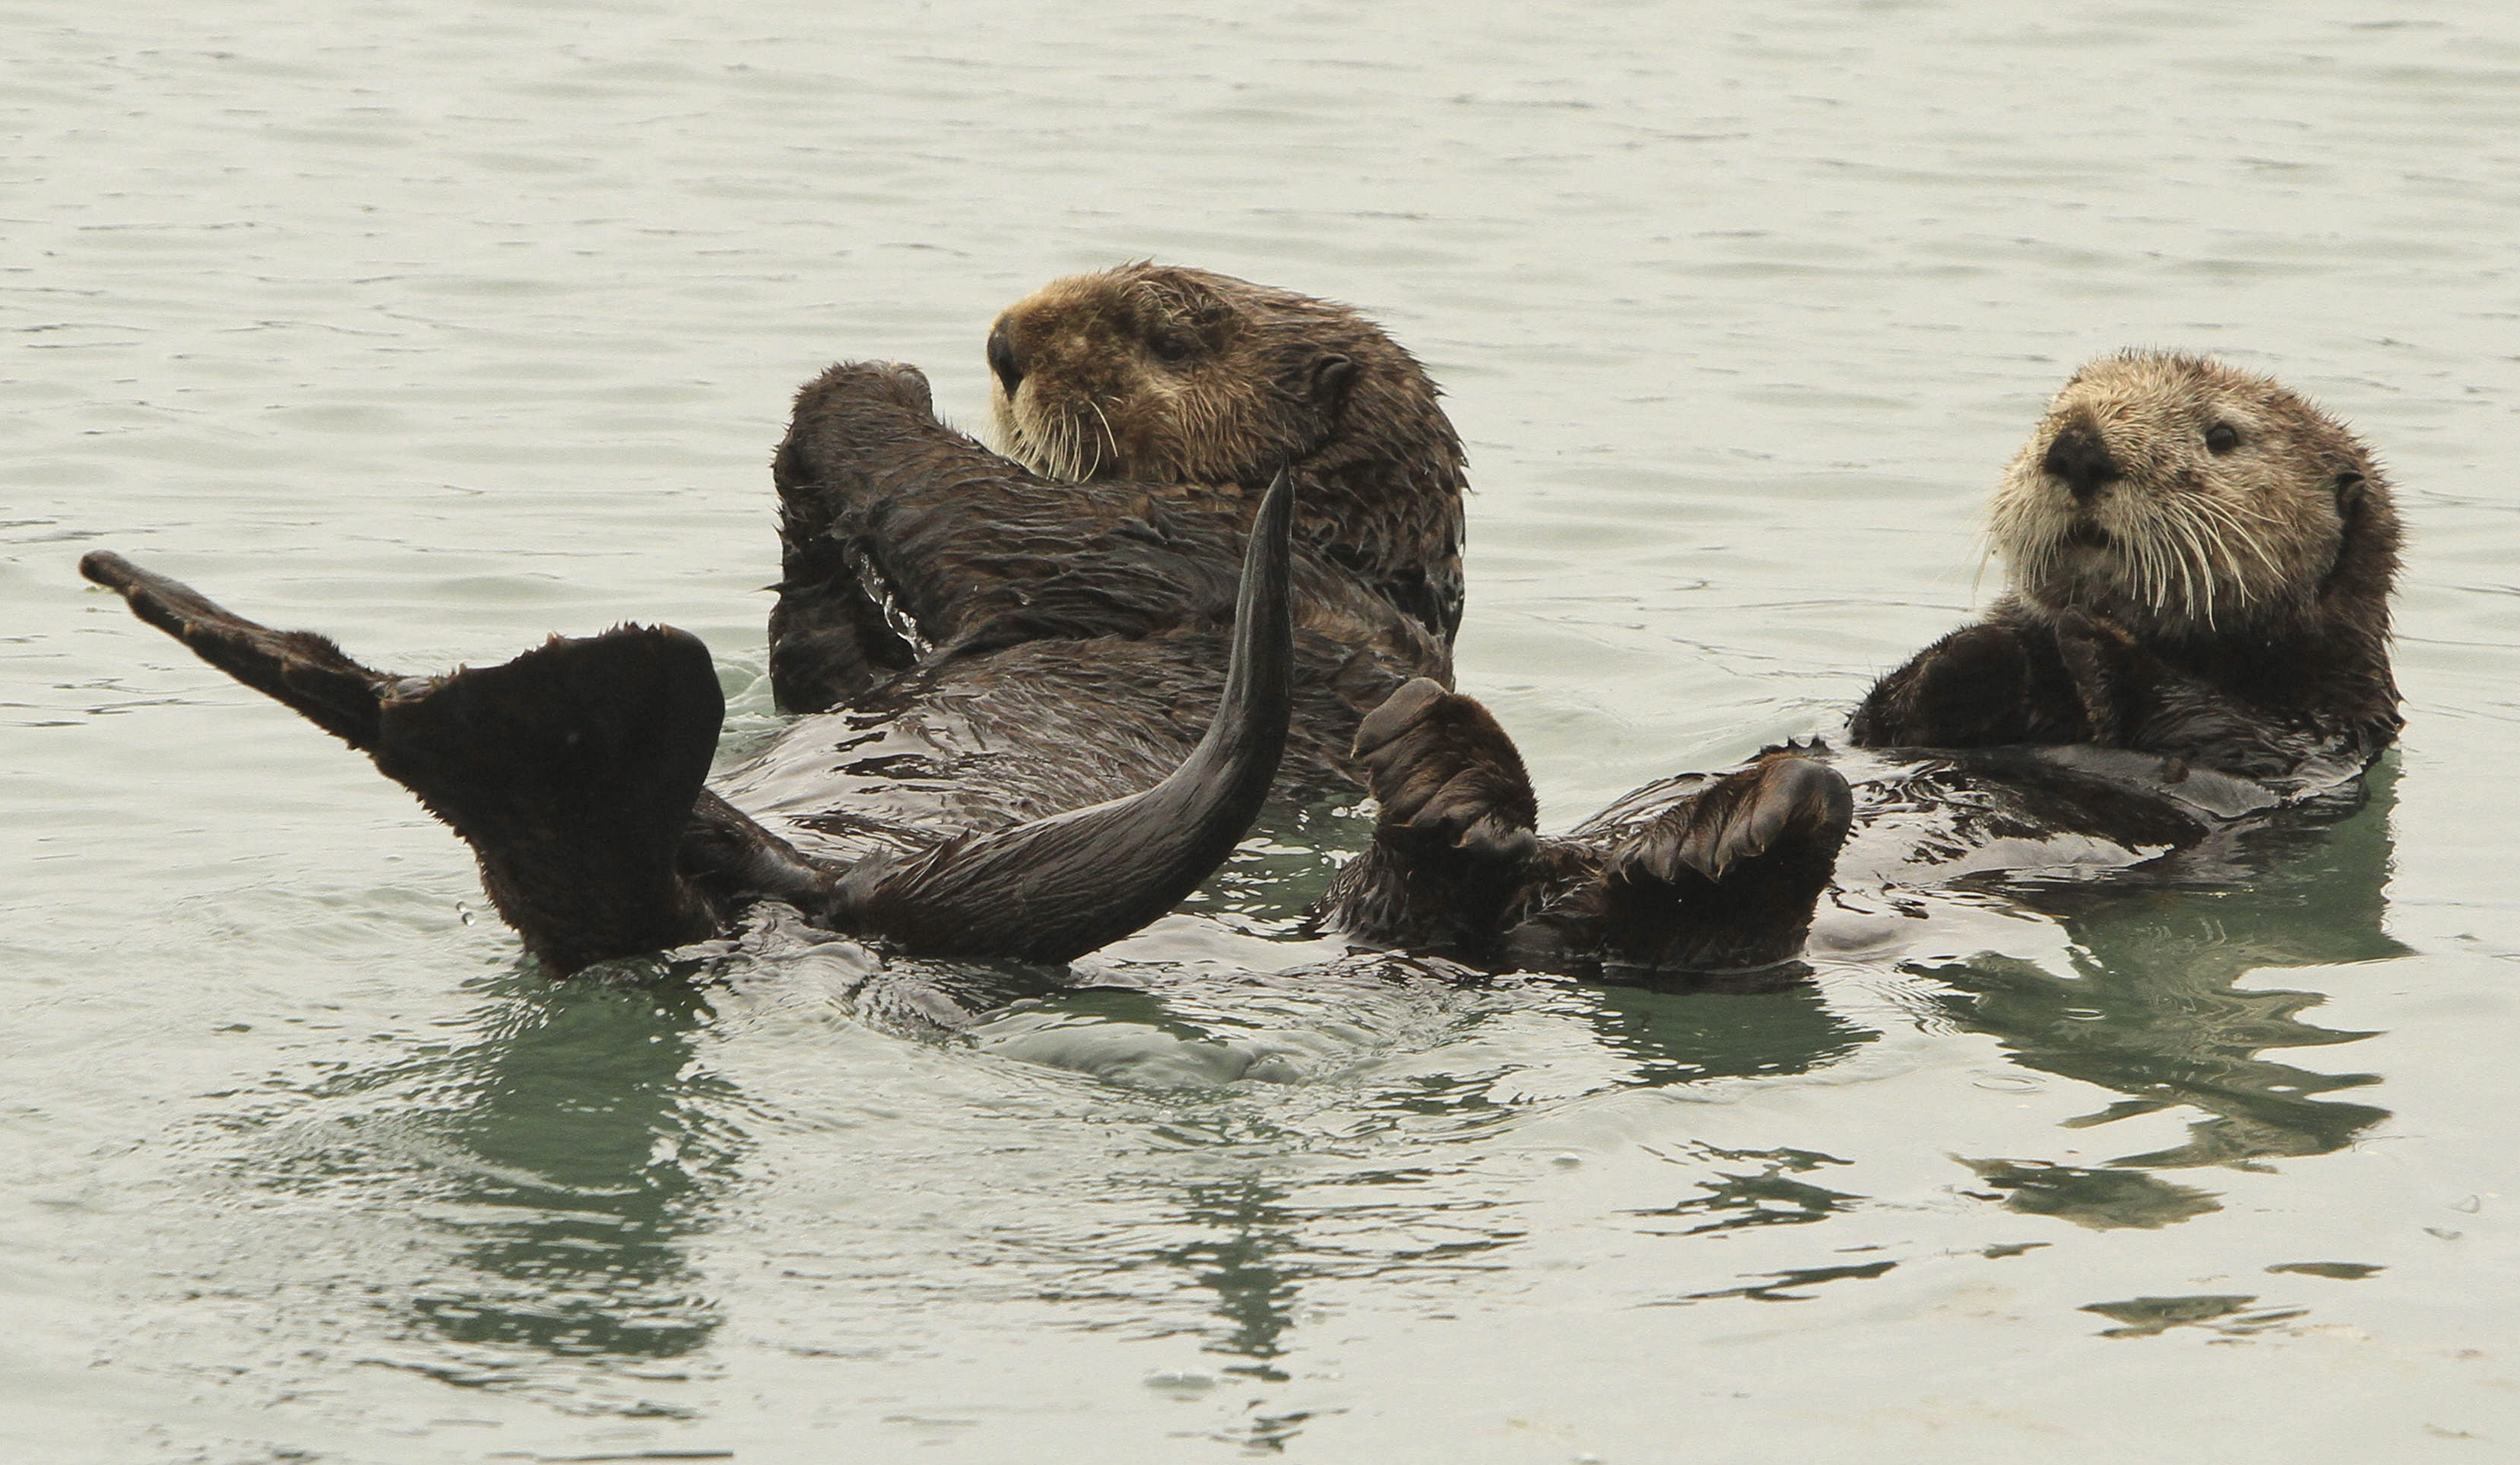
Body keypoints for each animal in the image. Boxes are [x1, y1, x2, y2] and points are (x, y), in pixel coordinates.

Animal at [1318, 352, 2400, 975]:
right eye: (2060, 406)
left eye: (2223, 435)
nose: (2079, 446)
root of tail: (1538, 925)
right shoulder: (1894, 710)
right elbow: (1889, 712)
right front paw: (1986, 650)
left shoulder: (2312, 740)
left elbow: (2206, 723)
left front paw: (2079, 642)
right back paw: (1436, 762)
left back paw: (1728, 832)